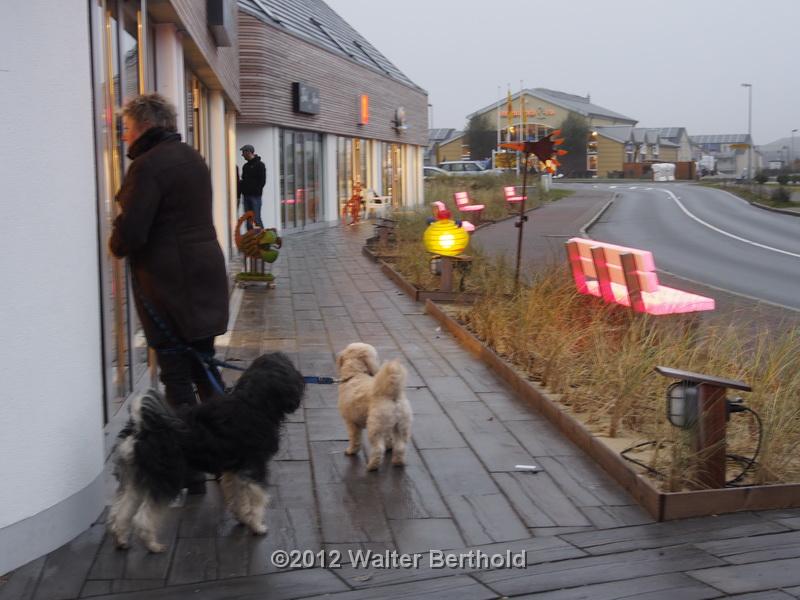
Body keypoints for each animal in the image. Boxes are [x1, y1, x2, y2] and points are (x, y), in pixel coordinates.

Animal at [108, 352, 304, 552]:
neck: (253, 403)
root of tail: (140, 428)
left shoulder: (235, 469)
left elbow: (238, 496)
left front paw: (243, 518)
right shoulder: (254, 467)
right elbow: (257, 499)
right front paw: (257, 526)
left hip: (137, 477)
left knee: (120, 510)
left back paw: (121, 540)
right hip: (166, 478)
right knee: (142, 517)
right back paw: (153, 545)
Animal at [336, 344, 412, 472]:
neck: (355, 374)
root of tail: (391, 395)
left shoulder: (351, 422)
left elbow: (355, 439)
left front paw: (351, 451)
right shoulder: (387, 427)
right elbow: (389, 439)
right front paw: (389, 446)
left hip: (375, 427)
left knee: (378, 449)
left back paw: (372, 466)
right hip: (401, 425)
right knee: (400, 446)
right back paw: (398, 462)